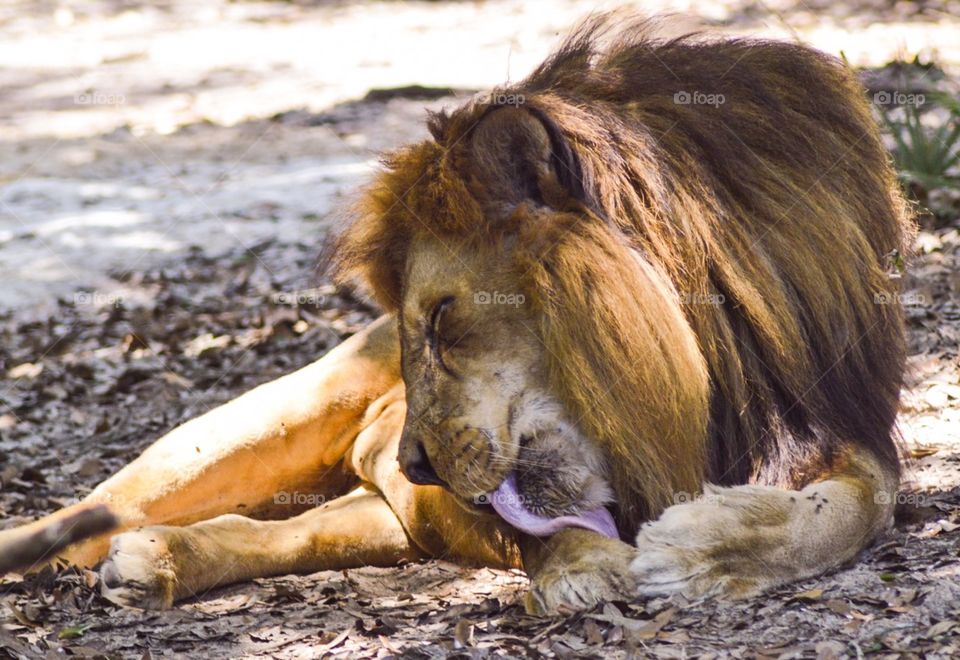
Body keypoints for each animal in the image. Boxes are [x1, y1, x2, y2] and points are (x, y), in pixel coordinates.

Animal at [0, 17, 912, 615]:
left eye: (440, 320)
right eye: (414, 328)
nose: (418, 464)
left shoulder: (832, 419)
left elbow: (856, 509)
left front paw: (699, 548)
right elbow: (544, 530)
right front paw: (587, 566)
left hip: (371, 514)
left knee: (289, 534)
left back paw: (156, 563)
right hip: (233, 439)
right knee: (89, 512)